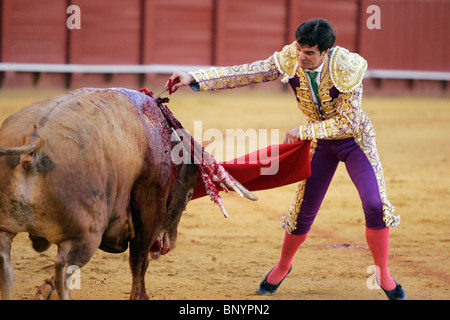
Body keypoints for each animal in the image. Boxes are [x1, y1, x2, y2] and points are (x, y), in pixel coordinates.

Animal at [0, 88, 251, 300]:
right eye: (190, 194)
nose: (169, 245)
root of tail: (34, 143)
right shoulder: (150, 205)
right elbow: (139, 258)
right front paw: (140, 296)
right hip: (87, 234)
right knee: (64, 268)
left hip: (6, 227)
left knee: (6, 269)